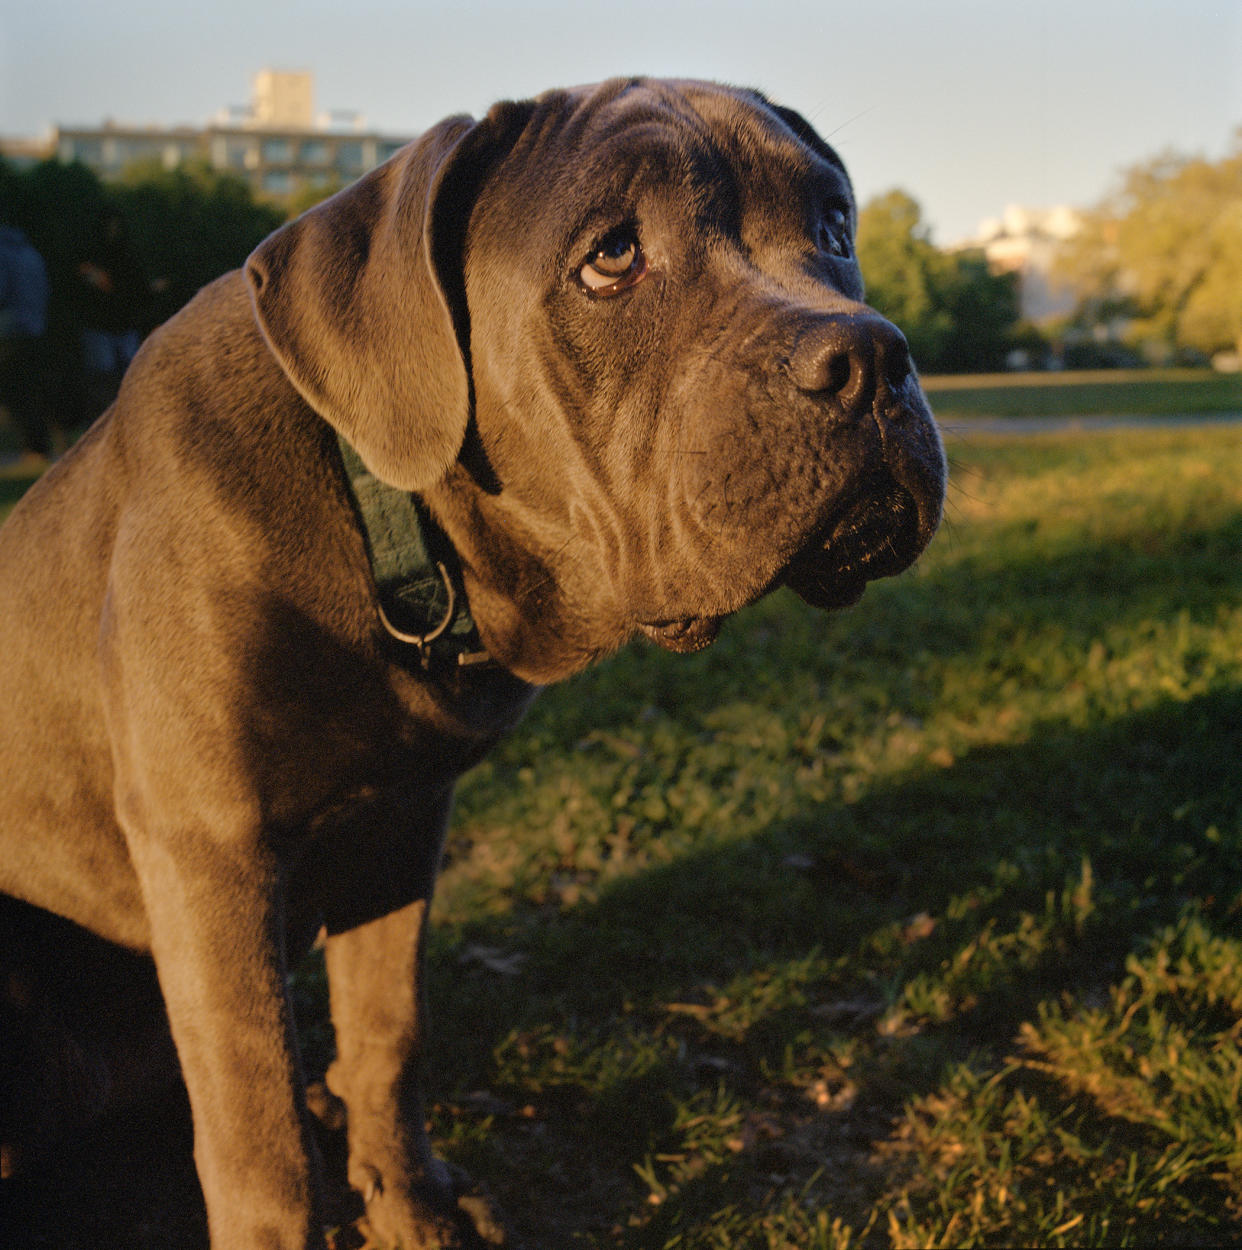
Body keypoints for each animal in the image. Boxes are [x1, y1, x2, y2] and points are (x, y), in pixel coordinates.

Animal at [0, 80, 944, 1250]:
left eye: (833, 226)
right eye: (612, 255)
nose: (872, 359)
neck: (385, 530)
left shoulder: (403, 829)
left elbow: (387, 1035)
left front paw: (410, 1204)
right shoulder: (211, 851)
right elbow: (257, 1137)